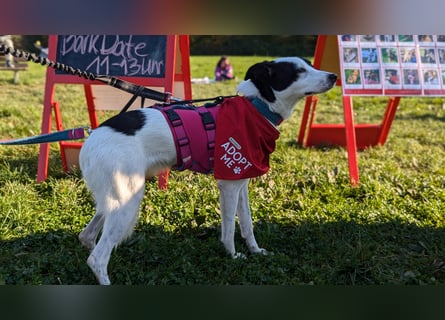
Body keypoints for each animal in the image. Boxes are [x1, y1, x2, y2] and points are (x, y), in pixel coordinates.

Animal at [78, 56, 334, 284]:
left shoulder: (241, 181)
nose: (334, 76)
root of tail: (91, 140)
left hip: (114, 199)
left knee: (87, 236)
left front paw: (255, 251)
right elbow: (229, 228)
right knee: (97, 259)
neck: (257, 107)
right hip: (126, 201)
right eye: (298, 71)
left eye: (310, 64)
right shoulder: (228, 183)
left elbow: (247, 224)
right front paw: (232, 256)